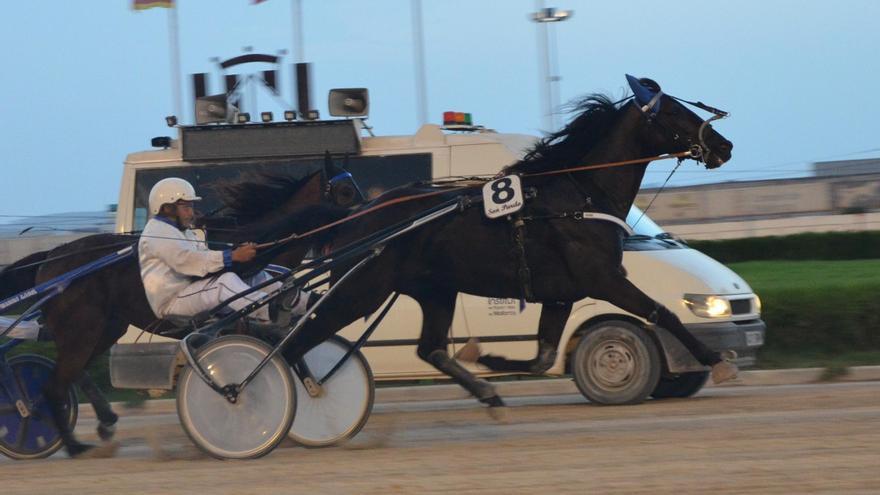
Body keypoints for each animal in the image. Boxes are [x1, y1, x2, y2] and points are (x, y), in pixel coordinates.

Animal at [0, 160, 360, 458]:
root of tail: (49, 260)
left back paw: (104, 422)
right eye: (345, 191)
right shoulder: (234, 322)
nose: (366, 212)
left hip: (104, 329)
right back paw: (72, 444)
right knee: (54, 385)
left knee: (74, 375)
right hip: (82, 330)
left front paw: (314, 389)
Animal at [278, 76, 732, 414]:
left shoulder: (562, 293)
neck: (579, 197)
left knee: (429, 348)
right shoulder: (603, 279)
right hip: (360, 290)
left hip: (435, 291)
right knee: (300, 337)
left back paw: (486, 391)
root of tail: (355, 215)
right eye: (674, 111)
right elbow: (663, 313)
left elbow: (543, 355)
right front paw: (717, 361)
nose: (724, 146)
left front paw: (488, 359)